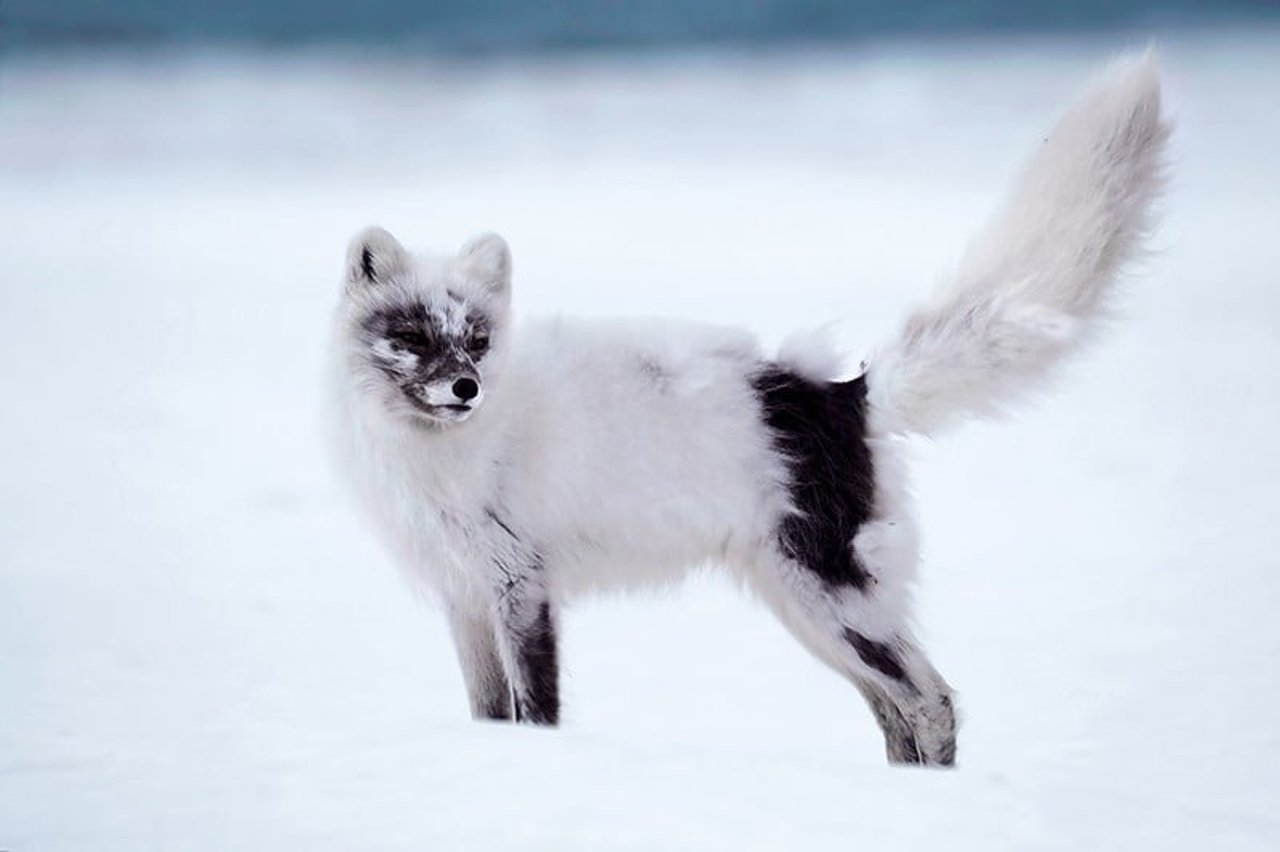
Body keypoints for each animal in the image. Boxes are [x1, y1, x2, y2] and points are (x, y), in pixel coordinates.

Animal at [327, 53, 1172, 762]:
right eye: (412, 336)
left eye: (475, 339)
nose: (465, 390)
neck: (435, 458)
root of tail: (846, 394)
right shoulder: (464, 597)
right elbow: (488, 715)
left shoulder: (520, 587)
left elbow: (536, 713)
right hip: (801, 606)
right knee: (898, 710)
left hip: (832, 600)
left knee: (930, 703)